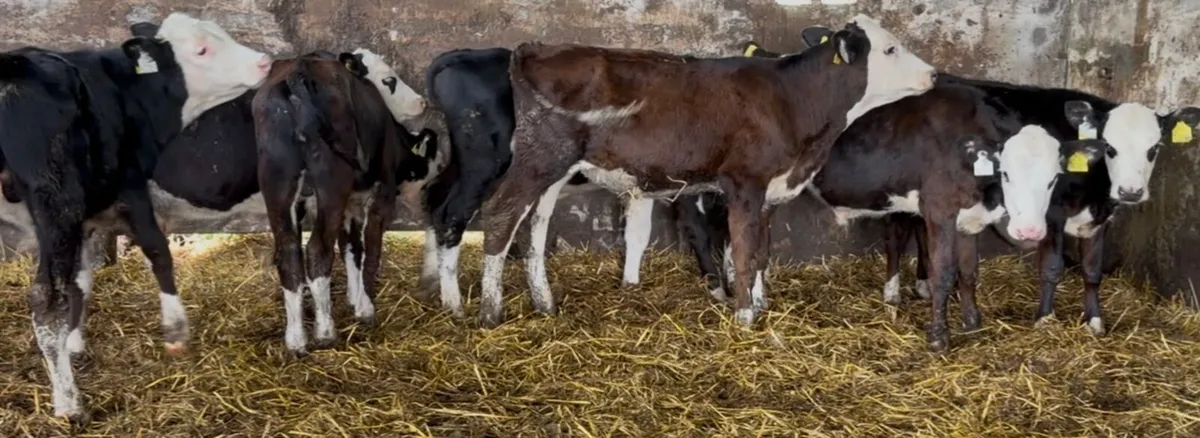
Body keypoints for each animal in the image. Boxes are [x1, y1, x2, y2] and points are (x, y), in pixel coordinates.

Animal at [0, 13, 270, 422]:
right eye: (201, 49)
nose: (264, 62)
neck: (126, 94)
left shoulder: (91, 211)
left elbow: (80, 280)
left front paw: (75, 342)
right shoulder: (129, 185)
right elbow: (159, 252)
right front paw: (176, 332)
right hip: (56, 197)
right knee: (44, 298)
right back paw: (68, 403)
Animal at [251, 53, 437, 357]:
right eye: (390, 80)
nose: (422, 102)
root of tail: (299, 70)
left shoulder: (344, 206)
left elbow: (351, 248)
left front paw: (354, 296)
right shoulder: (381, 196)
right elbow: (370, 250)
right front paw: (365, 307)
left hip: (278, 182)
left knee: (289, 252)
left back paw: (296, 339)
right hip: (331, 182)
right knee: (317, 250)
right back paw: (325, 332)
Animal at [466, 15, 936, 329]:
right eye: (890, 49)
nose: (933, 75)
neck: (793, 99)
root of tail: (537, 47)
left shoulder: (771, 190)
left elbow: (762, 252)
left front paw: (760, 303)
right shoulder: (745, 183)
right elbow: (743, 253)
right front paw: (745, 316)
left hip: (554, 170)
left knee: (535, 227)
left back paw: (544, 302)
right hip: (537, 159)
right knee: (501, 216)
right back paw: (490, 312)